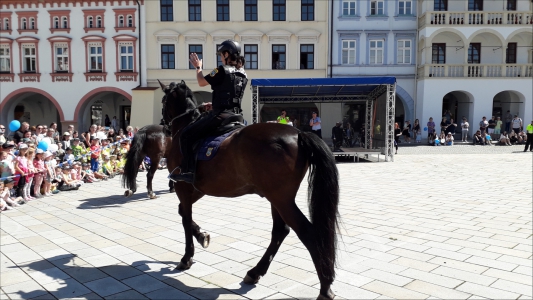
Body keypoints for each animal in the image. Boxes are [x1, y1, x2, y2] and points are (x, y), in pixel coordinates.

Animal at [159, 81, 340, 298]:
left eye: (163, 100)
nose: (162, 124)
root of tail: (299, 134)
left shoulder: (183, 187)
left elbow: (185, 220)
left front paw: (187, 257)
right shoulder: (197, 189)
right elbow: (182, 214)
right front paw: (202, 236)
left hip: (281, 199)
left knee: (307, 233)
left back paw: (325, 286)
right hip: (277, 198)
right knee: (280, 231)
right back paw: (255, 272)